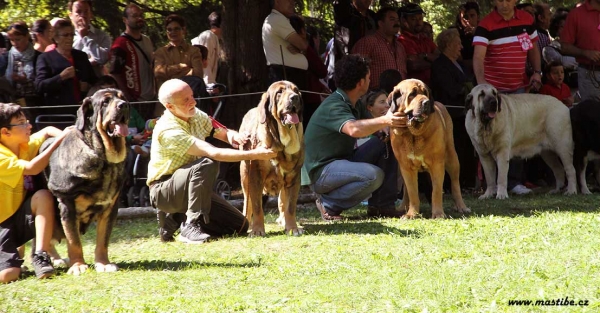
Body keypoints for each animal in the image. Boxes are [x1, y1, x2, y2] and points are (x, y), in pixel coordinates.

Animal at [41, 87, 130, 272]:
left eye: (122, 98)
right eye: (105, 102)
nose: (124, 105)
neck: (103, 158)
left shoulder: (110, 208)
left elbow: (102, 241)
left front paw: (103, 264)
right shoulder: (67, 204)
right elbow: (74, 241)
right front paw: (78, 266)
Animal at [239, 80, 304, 234]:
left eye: (296, 91)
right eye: (279, 92)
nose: (294, 97)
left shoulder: (294, 177)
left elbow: (290, 207)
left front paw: (292, 228)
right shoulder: (255, 177)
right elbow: (257, 206)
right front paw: (257, 230)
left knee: (282, 203)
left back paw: (284, 221)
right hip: (245, 175)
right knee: (247, 203)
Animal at [390, 78, 468, 217]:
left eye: (425, 93)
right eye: (412, 94)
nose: (426, 102)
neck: (413, 134)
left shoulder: (437, 164)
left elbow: (436, 191)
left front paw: (438, 214)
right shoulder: (406, 167)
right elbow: (412, 191)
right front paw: (412, 214)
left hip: (452, 159)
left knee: (455, 184)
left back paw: (461, 206)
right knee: (406, 191)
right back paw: (403, 207)